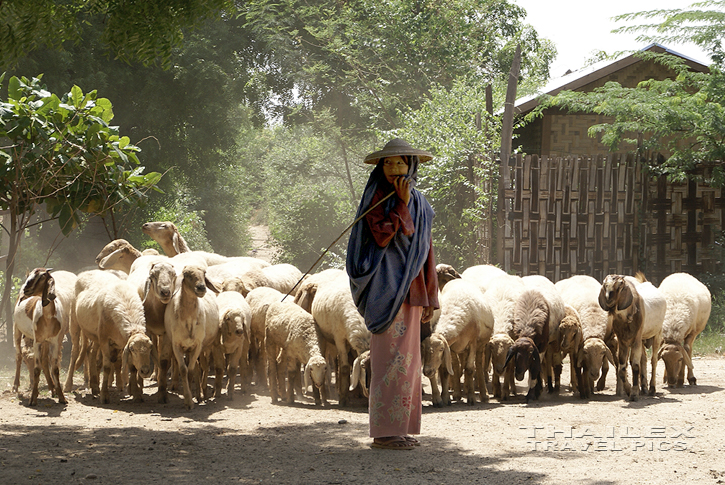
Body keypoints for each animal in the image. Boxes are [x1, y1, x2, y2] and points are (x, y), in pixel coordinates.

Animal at [12, 268, 76, 404]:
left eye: (42, 276)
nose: (26, 289)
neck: (48, 317)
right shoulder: (38, 341)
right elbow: (37, 368)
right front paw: (33, 398)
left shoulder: (55, 341)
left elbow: (54, 368)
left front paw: (61, 396)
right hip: (17, 329)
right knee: (19, 355)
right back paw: (15, 386)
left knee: (45, 360)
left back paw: (52, 388)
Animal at [69, 270, 156, 402]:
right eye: (132, 349)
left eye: (150, 348)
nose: (145, 371)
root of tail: (86, 272)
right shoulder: (105, 340)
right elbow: (107, 367)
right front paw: (104, 395)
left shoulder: (121, 342)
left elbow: (131, 368)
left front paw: (136, 394)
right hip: (75, 322)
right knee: (75, 352)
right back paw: (67, 386)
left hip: (95, 335)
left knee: (91, 353)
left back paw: (94, 386)